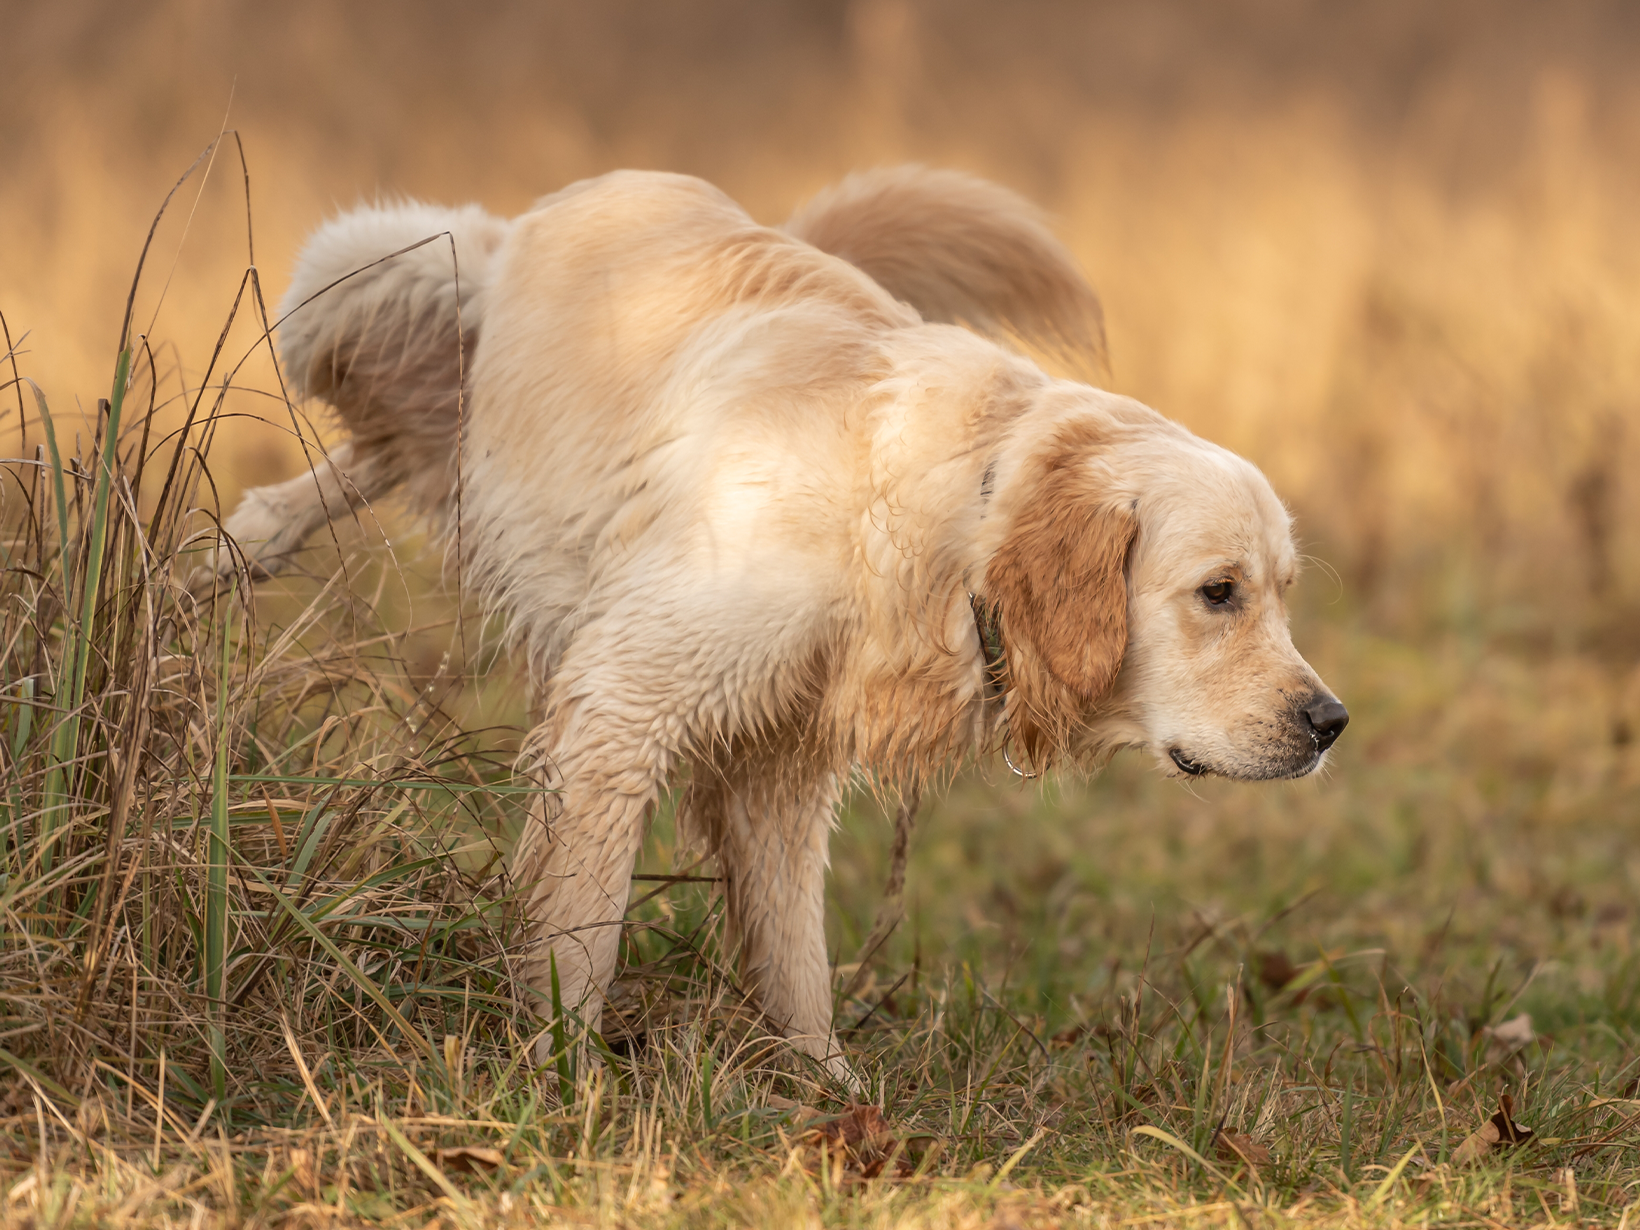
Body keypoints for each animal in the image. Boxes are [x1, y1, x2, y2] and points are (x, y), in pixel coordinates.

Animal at [218, 166, 1344, 1075]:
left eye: (1285, 588)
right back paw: (217, 566)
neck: (953, 512)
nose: (1329, 723)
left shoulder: (783, 763)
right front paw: (557, 1080)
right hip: (366, 279)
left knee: (368, 462)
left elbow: (793, 956)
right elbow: (582, 929)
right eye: (1218, 591)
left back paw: (230, 555)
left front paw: (828, 1094)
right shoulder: (621, 706)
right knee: (363, 437)